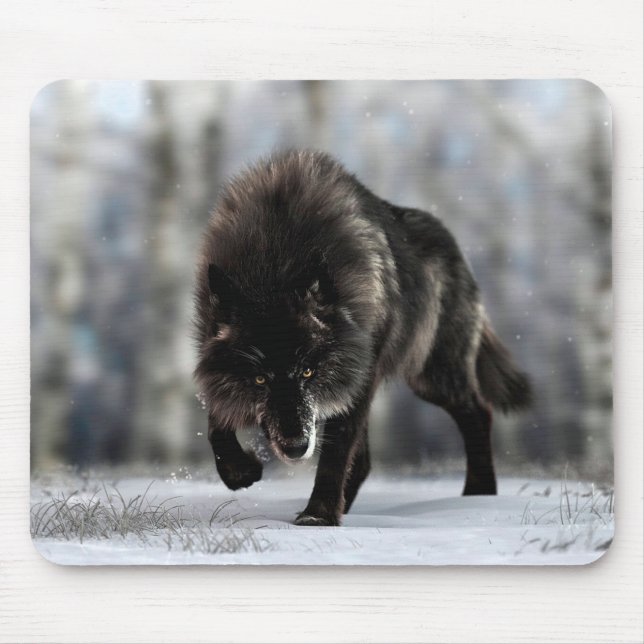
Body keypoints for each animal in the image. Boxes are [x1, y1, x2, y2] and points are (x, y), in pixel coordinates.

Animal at [193, 149, 531, 526]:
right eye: (260, 379)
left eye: (308, 371)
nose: (296, 448)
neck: (275, 258)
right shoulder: (214, 363)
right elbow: (216, 422)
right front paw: (240, 470)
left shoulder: (358, 376)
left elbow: (336, 452)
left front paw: (318, 517)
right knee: (367, 460)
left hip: (432, 377)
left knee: (478, 413)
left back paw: (478, 497)